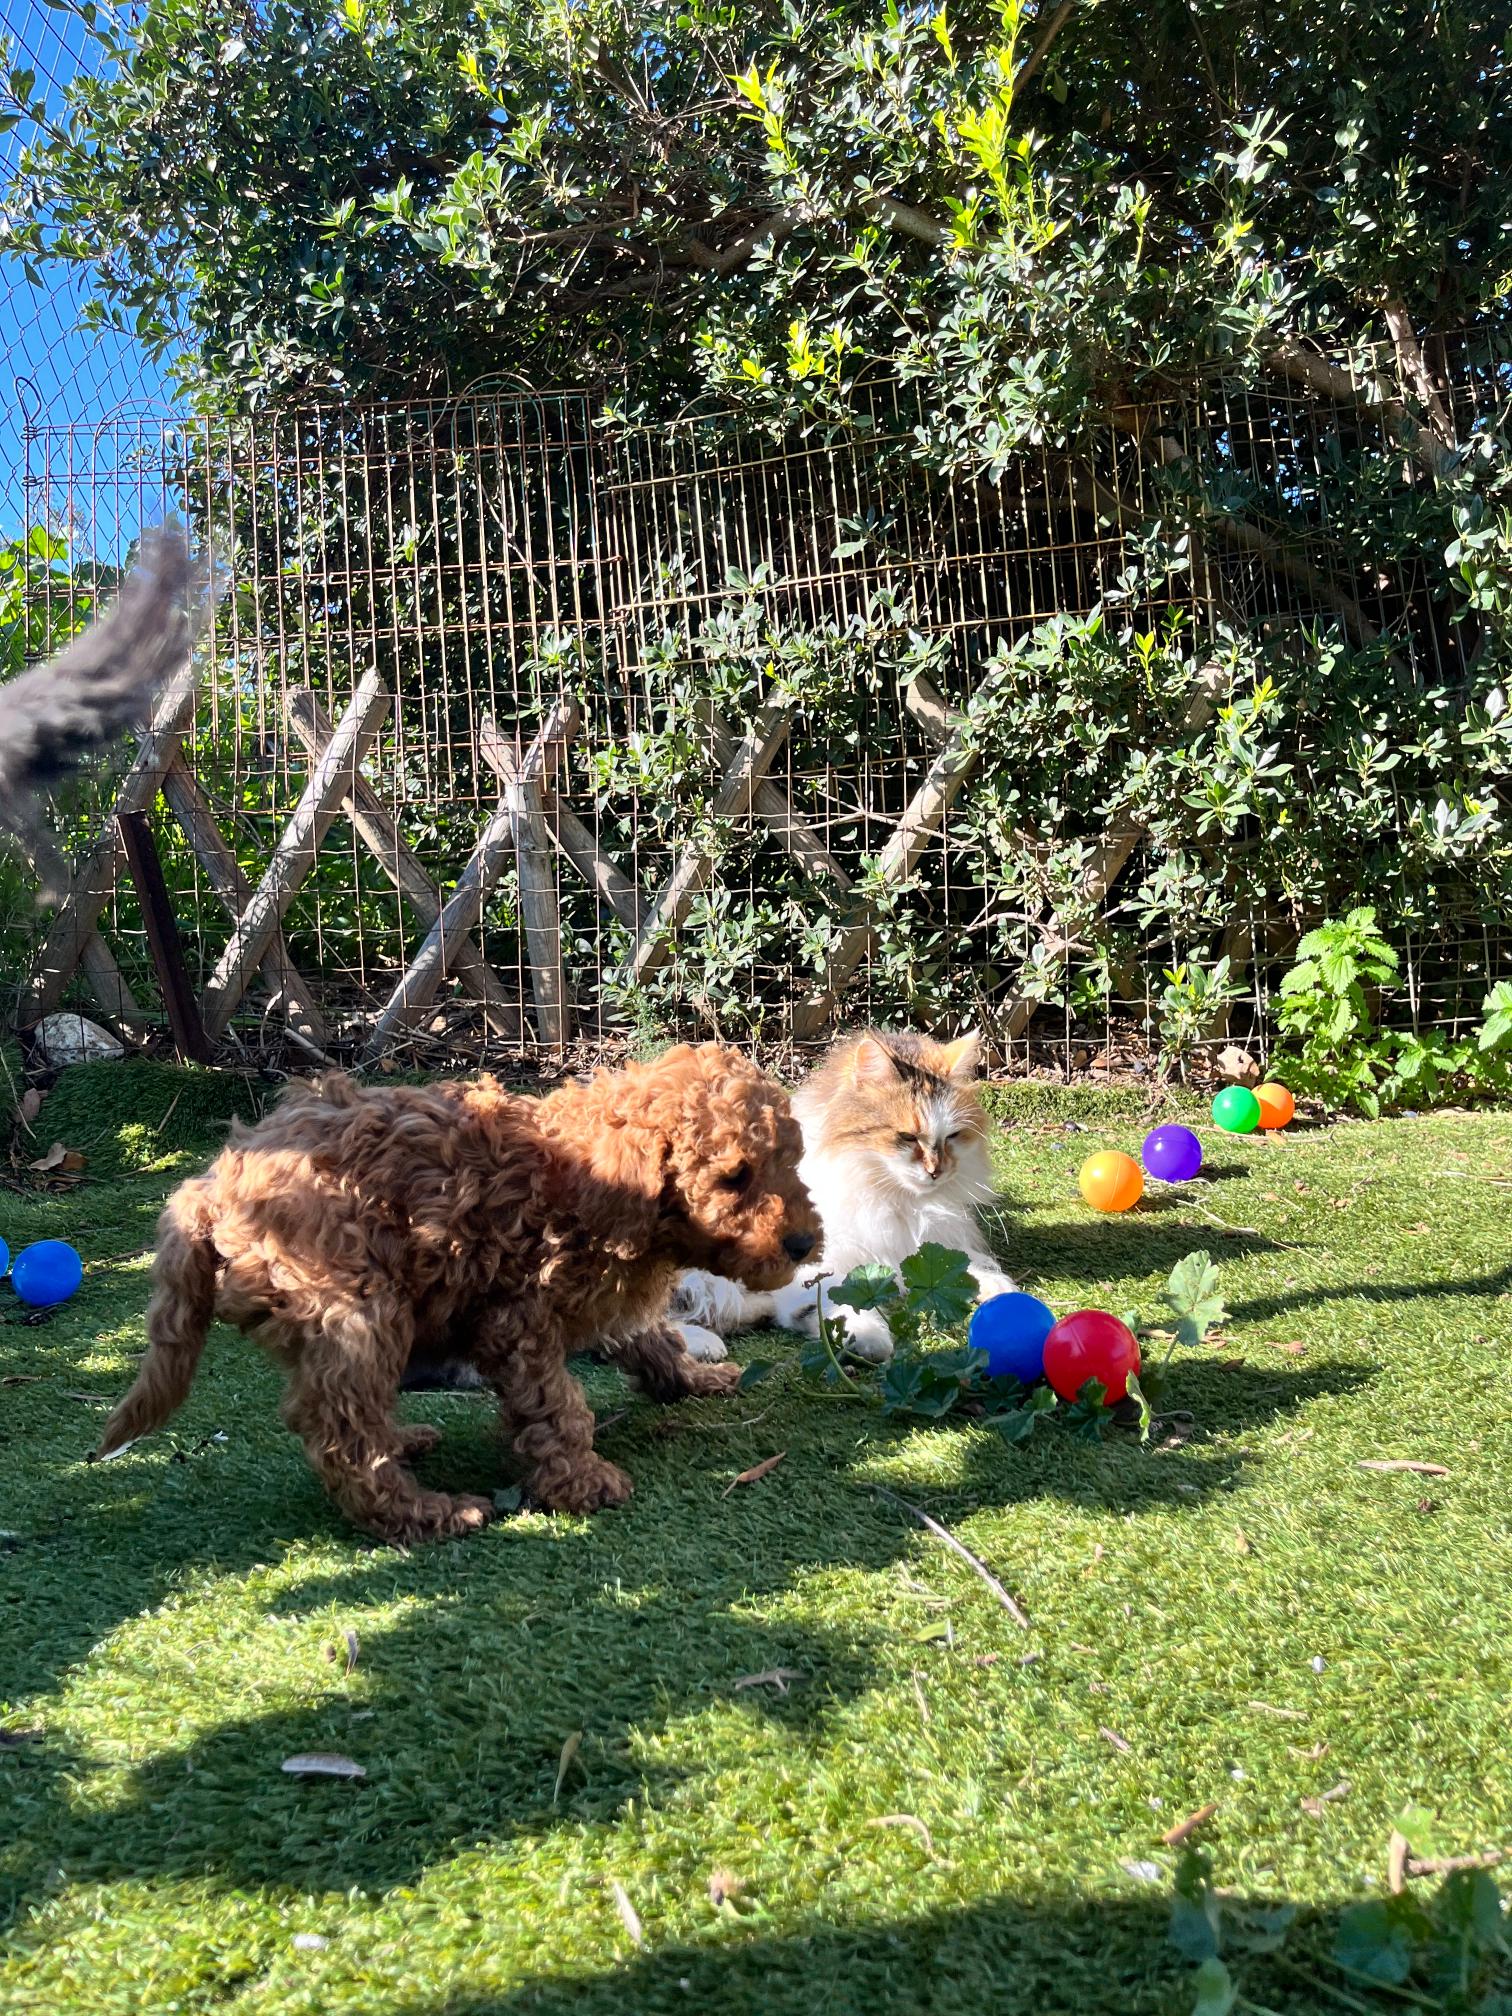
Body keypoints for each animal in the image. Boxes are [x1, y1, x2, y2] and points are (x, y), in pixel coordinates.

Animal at [96, 1044, 820, 1543]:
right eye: (734, 1177)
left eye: (791, 1162)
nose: (806, 1243)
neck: (595, 1183)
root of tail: (209, 1187)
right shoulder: (516, 1321)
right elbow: (555, 1406)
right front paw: (581, 1481)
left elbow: (647, 1336)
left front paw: (693, 1379)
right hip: (357, 1306)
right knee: (339, 1431)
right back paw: (424, 1511)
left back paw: (404, 1442)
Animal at [669, 1028, 1014, 1364]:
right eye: (907, 1137)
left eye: (952, 1137)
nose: (936, 1171)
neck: (887, 1194)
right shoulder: (814, 1262)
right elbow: (840, 1298)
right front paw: (868, 1337)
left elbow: (956, 1262)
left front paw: (995, 1284)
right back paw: (706, 1342)